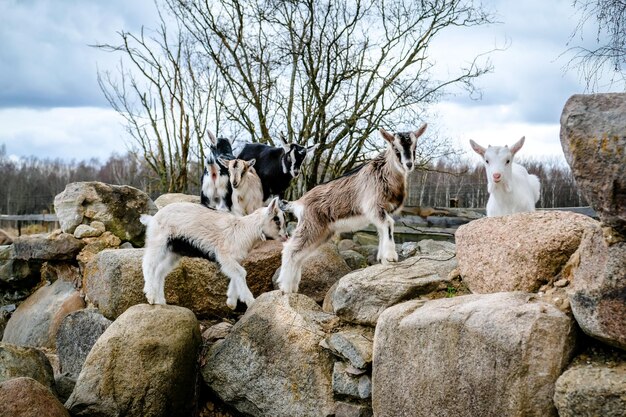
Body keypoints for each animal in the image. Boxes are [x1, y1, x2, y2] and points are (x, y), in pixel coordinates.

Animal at [140, 198, 286, 308]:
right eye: (277, 219)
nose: (286, 237)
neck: (243, 229)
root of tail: (152, 219)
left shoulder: (233, 259)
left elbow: (235, 274)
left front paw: (231, 302)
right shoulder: (223, 255)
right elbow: (241, 273)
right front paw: (251, 302)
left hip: (174, 252)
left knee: (160, 270)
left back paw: (160, 301)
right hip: (158, 242)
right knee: (148, 264)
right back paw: (151, 296)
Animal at [276, 123, 426, 292]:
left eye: (415, 146)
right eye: (395, 148)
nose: (409, 164)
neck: (385, 172)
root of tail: (299, 202)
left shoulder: (381, 212)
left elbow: (382, 230)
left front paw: (383, 259)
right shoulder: (373, 206)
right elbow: (388, 225)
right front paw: (391, 257)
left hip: (322, 231)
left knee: (299, 255)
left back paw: (293, 286)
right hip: (311, 224)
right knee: (290, 249)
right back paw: (285, 288)